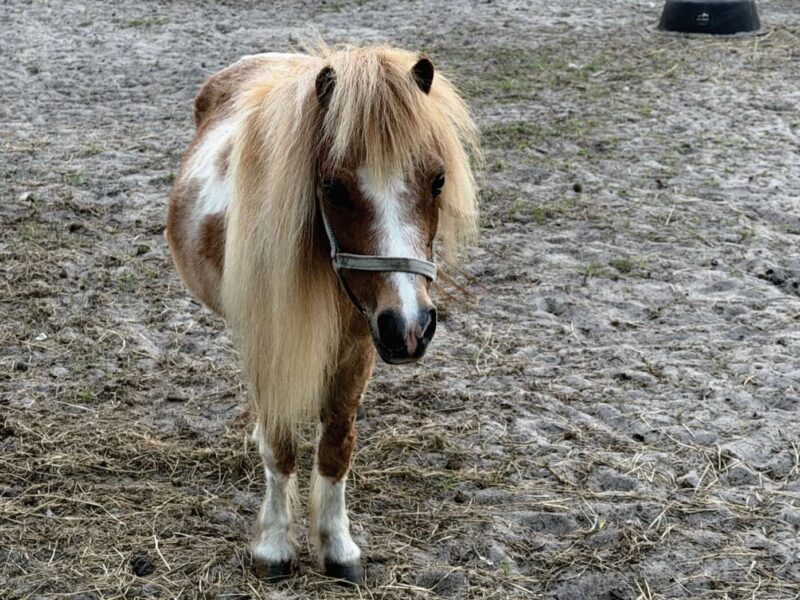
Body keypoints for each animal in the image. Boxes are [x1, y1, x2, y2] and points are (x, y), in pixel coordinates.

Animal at [165, 44, 479, 584]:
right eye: (332, 188)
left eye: (438, 180)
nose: (411, 327)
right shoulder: (269, 338)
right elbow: (281, 444)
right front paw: (273, 546)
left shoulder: (360, 344)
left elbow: (336, 445)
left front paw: (337, 545)